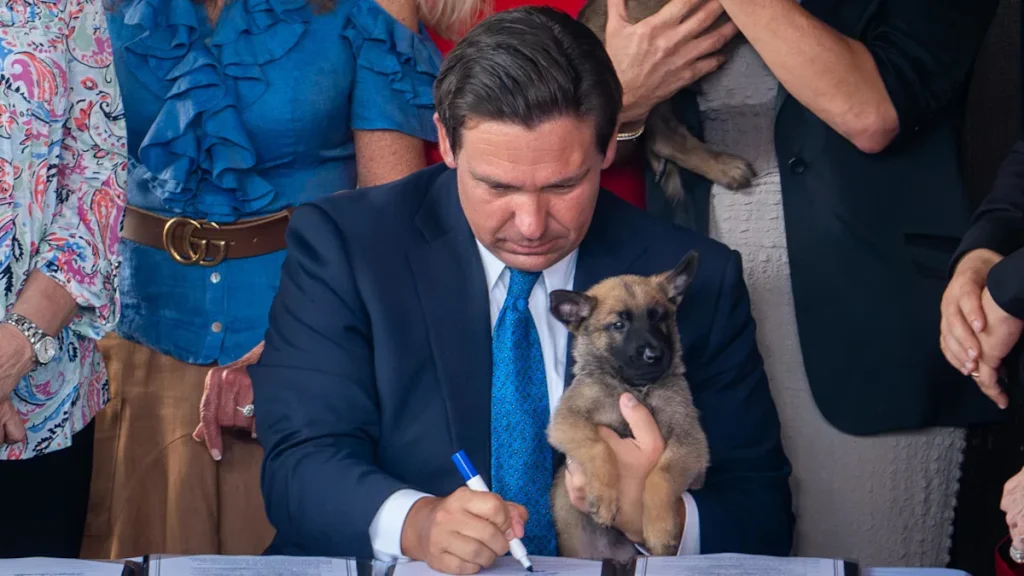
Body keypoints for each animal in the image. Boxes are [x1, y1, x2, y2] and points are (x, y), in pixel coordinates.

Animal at [546, 251, 710, 561]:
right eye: (619, 325)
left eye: (659, 318)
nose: (654, 354)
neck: (635, 388)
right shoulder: (566, 421)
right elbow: (598, 446)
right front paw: (605, 497)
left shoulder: (689, 439)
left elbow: (660, 477)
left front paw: (659, 529)